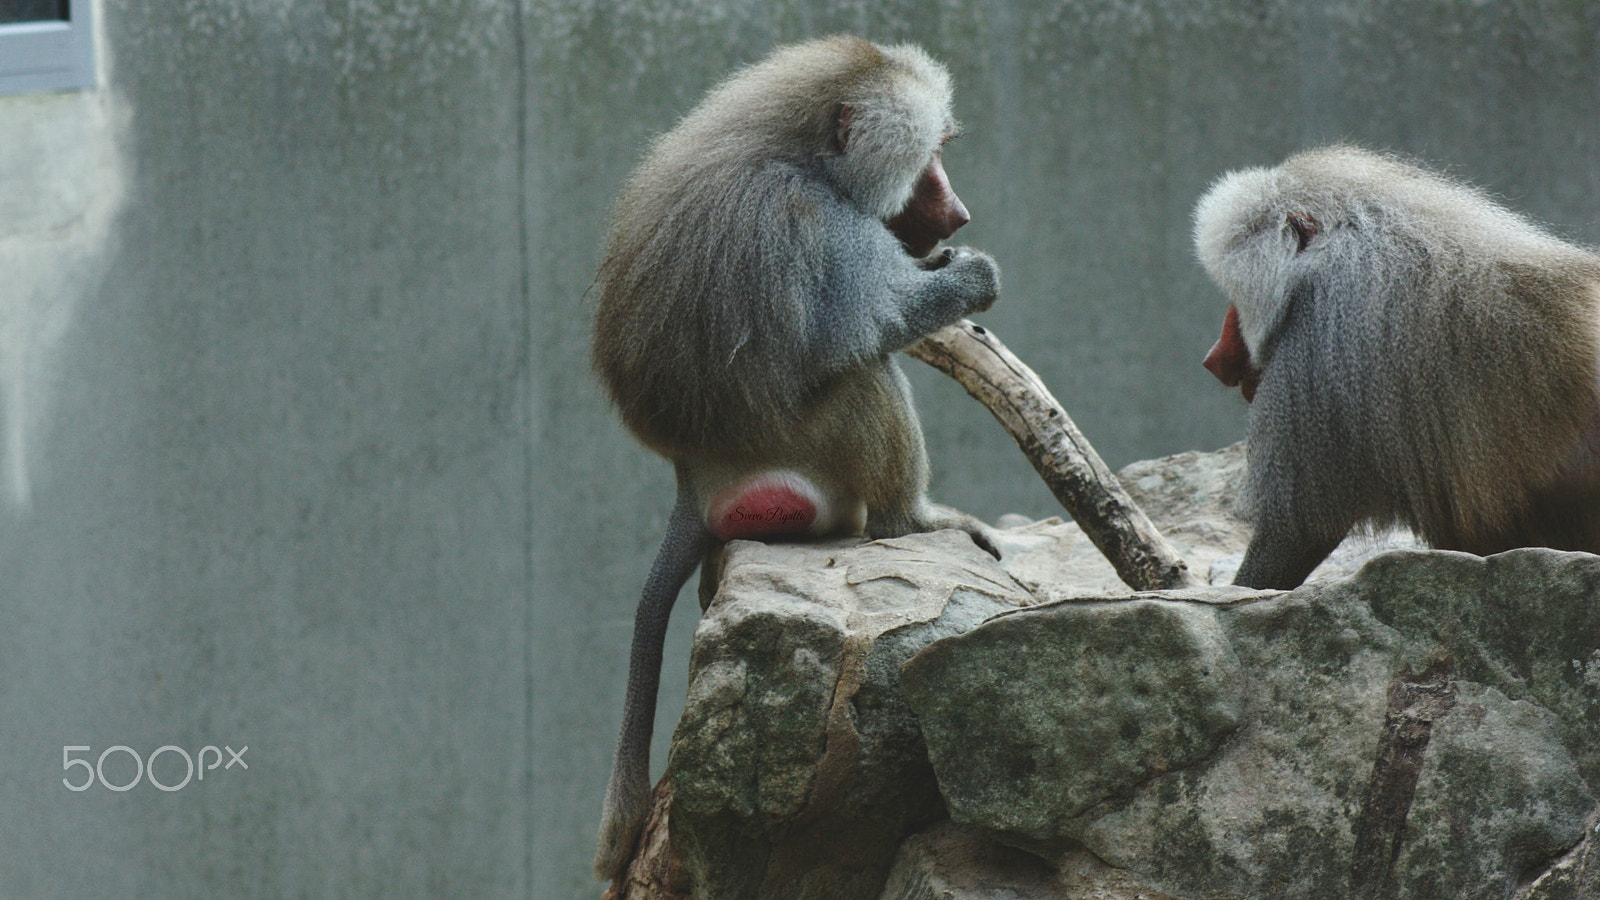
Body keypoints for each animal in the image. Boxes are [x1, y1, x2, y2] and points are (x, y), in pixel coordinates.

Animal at [588, 36, 1002, 879]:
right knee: (868, 377)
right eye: (931, 160)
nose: (961, 212)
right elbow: (873, 325)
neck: (805, 153)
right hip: (803, 442)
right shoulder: (829, 234)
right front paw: (969, 276)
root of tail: (691, 472)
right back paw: (918, 521)